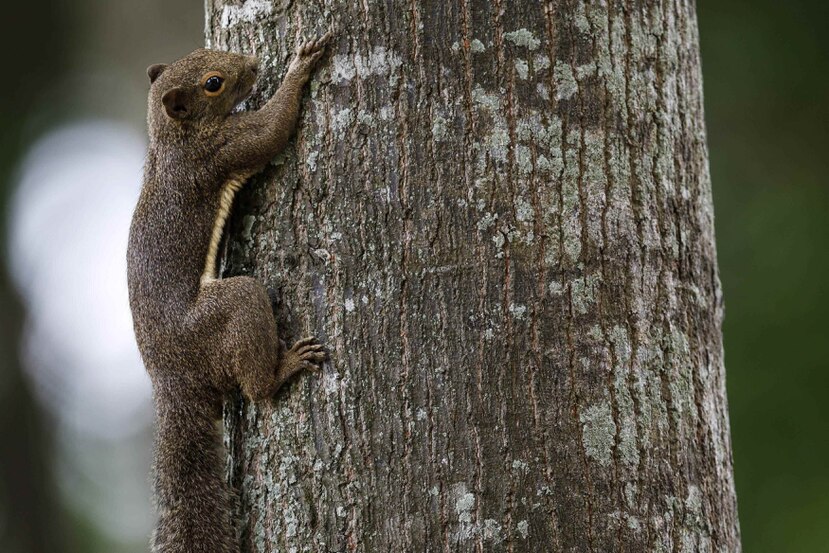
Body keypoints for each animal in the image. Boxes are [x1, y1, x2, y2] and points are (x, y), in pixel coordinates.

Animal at [126, 32, 330, 548]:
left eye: (206, 55)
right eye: (213, 83)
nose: (254, 63)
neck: (171, 140)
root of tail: (170, 378)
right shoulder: (222, 149)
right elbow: (273, 130)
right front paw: (300, 67)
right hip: (228, 309)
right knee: (256, 387)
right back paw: (283, 369)